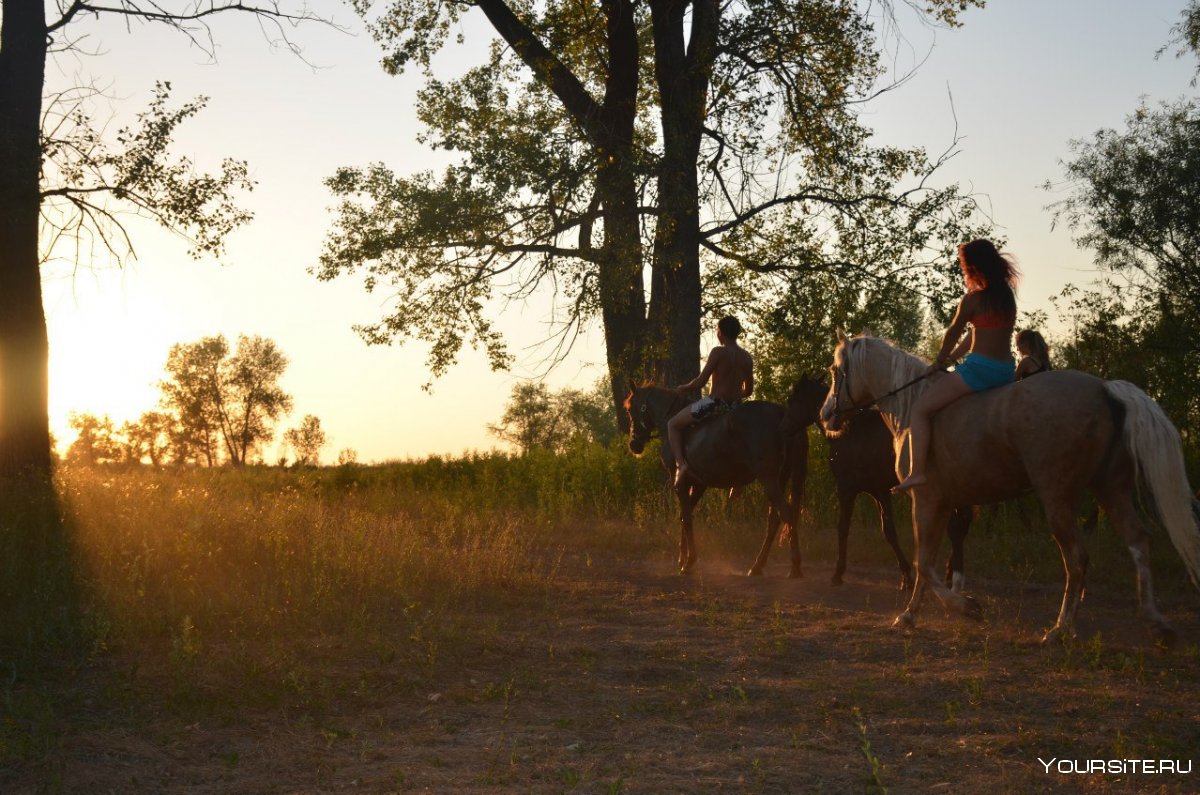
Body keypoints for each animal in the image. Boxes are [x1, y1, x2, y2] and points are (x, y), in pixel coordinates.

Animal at [624, 384, 801, 576]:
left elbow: (686, 518)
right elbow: (683, 516)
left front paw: (689, 562)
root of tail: (781, 412)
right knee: (774, 519)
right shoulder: (699, 484)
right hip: (780, 479)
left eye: (630, 409)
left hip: (768, 479)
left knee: (786, 513)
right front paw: (682, 558)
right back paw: (757, 566)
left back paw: (795, 567)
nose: (634, 444)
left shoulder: (680, 483)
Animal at [787, 374, 974, 590]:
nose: (783, 427)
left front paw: (838, 573)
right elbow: (889, 532)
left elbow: (843, 528)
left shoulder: (847, 489)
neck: (850, 433)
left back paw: (952, 576)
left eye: (791, 400)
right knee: (961, 525)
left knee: (957, 527)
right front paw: (906, 576)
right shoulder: (879, 492)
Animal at [820, 331, 1200, 648]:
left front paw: (965, 608)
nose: (826, 416)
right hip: (1110, 489)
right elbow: (928, 563)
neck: (911, 406)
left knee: (1077, 558)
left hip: (1057, 497)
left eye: (836, 371)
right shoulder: (946, 503)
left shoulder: (925, 501)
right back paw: (1155, 623)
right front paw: (911, 615)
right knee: (1138, 542)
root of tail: (1105, 389)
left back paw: (1060, 628)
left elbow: (923, 563)